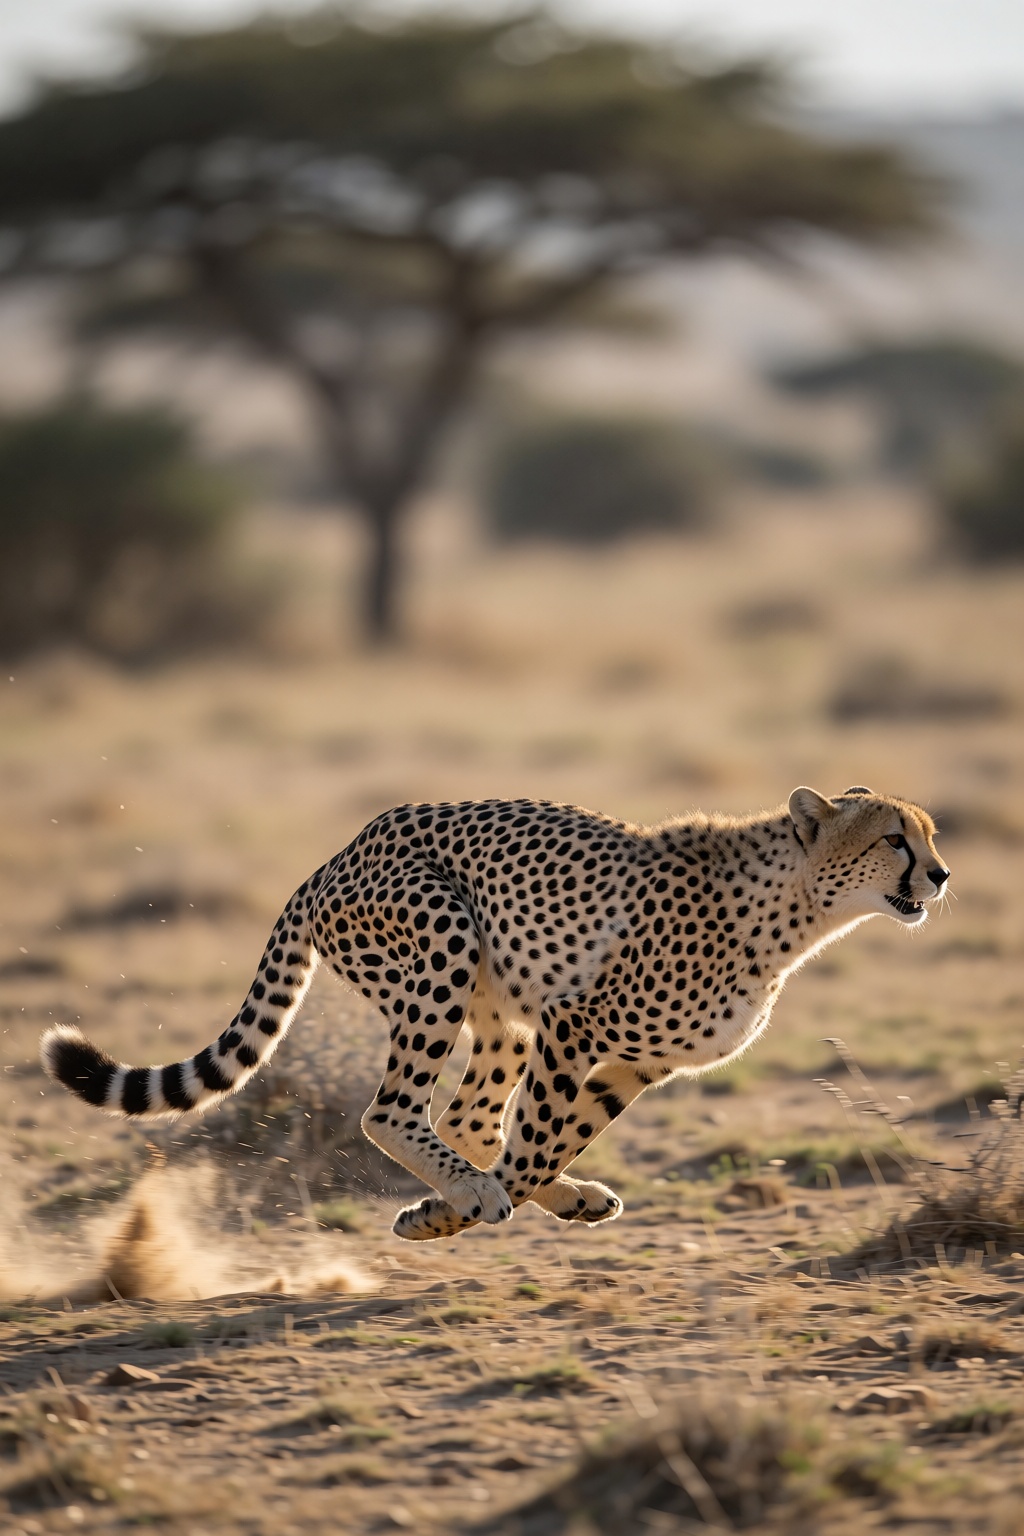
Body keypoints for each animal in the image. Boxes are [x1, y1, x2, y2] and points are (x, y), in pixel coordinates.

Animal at [40, 785, 948, 1241]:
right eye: (894, 838)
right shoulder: (577, 1021)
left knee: (469, 1117)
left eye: (930, 835)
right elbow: (538, 1136)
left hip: (499, 1012)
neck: (794, 911)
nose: (941, 876)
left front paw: (495, 1198)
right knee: (393, 1110)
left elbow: (552, 1139)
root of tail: (339, 853)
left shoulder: (635, 1061)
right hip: (441, 941)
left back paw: (554, 1195)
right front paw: (444, 1213)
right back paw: (470, 1191)